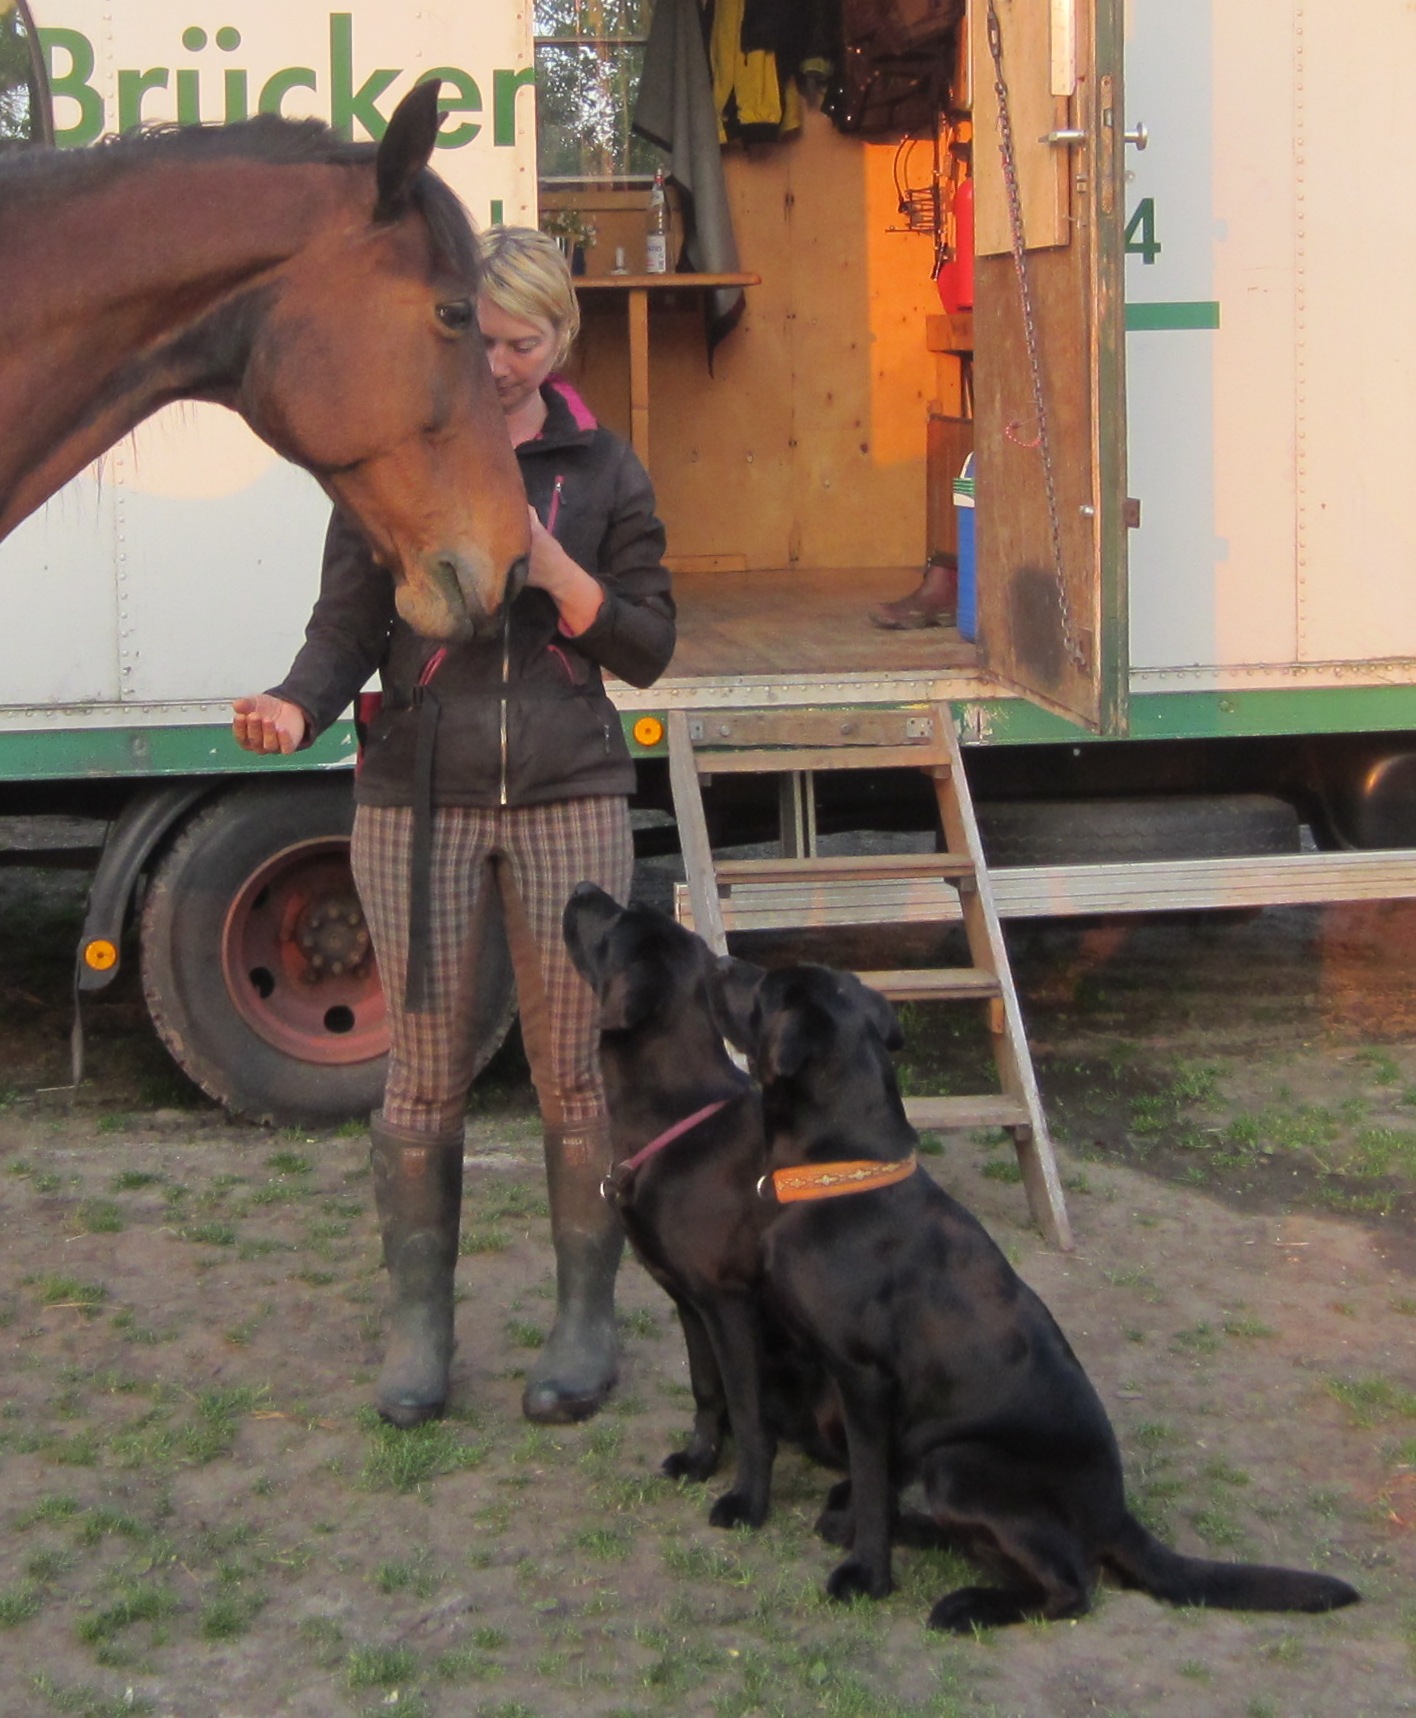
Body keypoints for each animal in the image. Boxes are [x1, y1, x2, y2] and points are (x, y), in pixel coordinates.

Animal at [560, 886, 842, 1532]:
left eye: (617, 923)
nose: (584, 888)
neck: (675, 1119)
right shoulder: (688, 1299)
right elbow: (706, 1389)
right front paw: (701, 1459)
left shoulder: (727, 1300)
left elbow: (745, 1408)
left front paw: (748, 1501)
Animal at [714, 962, 1367, 1628]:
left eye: (764, 987)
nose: (721, 966)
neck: (840, 1178)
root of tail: (1117, 1516)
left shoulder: (865, 1379)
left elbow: (871, 1481)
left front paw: (866, 1574)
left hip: (960, 1464)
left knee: (1071, 1588)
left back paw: (970, 1604)